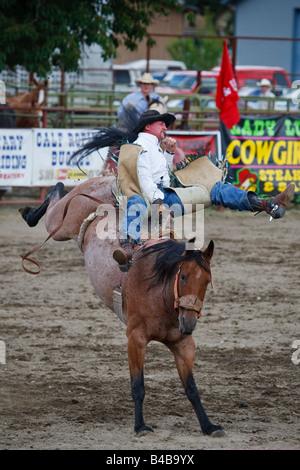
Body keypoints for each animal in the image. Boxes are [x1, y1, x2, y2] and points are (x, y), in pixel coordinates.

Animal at [19, 176, 225, 436]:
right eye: (184, 276)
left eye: (207, 281)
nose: (188, 323)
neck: (160, 292)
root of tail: (108, 185)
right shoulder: (135, 339)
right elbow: (138, 386)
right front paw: (140, 425)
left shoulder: (184, 344)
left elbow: (192, 389)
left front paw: (208, 425)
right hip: (61, 223)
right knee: (54, 202)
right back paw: (34, 208)